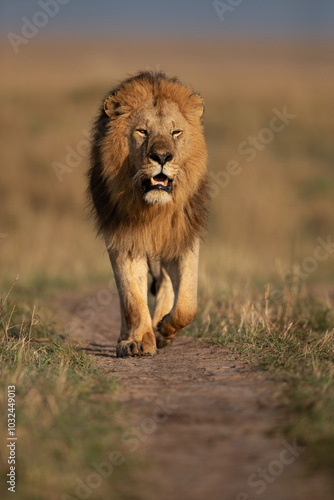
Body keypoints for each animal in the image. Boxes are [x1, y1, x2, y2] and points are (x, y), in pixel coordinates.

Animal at [88, 72, 209, 358]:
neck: (155, 210)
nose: (162, 156)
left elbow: (188, 304)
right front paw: (138, 341)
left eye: (176, 132)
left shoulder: (182, 238)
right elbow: (132, 298)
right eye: (142, 131)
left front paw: (164, 328)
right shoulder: (125, 241)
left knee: (165, 284)